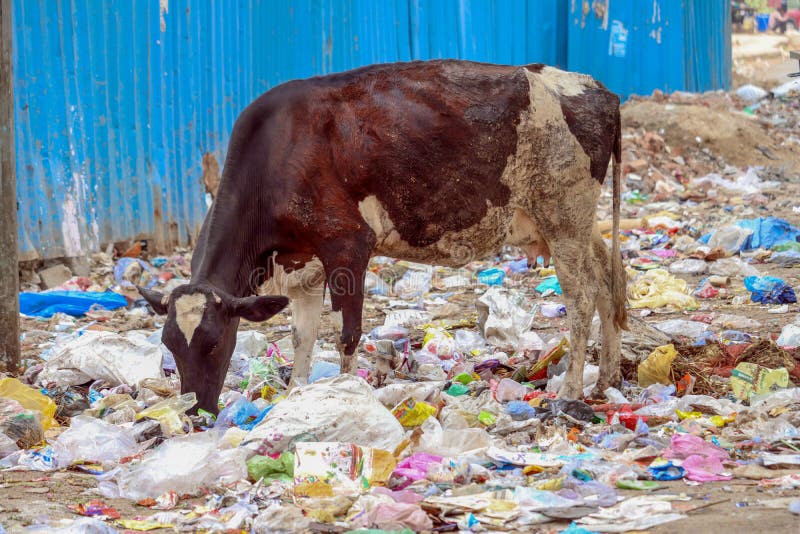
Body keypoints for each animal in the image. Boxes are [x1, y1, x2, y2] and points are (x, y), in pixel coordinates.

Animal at [139, 60, 628, 414]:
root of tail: (596, 88)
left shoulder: (348, 244)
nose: (195, 410)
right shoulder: (302, 265)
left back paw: (571, 389)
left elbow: (348, 334)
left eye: (213, 342)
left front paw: (345, 393)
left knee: (582, 297)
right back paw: (604, 379)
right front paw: (297, 396)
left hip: (563, 216)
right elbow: (302, 337)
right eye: (168, 346)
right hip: (578, 224)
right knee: (608, 281)